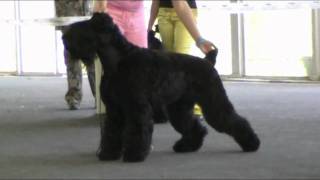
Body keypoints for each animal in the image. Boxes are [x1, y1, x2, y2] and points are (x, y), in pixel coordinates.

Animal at [62, 12, 260, 162]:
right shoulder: (114, 109)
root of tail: (208, 61)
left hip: (214, 102)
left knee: (234, 120)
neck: (118, 61)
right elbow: (111, 131)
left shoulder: (137, 107)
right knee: (194, 126)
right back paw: (186, 146)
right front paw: (108, 153)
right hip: (178, 108)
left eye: (85, 28)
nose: (64, 37)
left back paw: (252, 144)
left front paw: (134, 154)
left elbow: (137, 130)